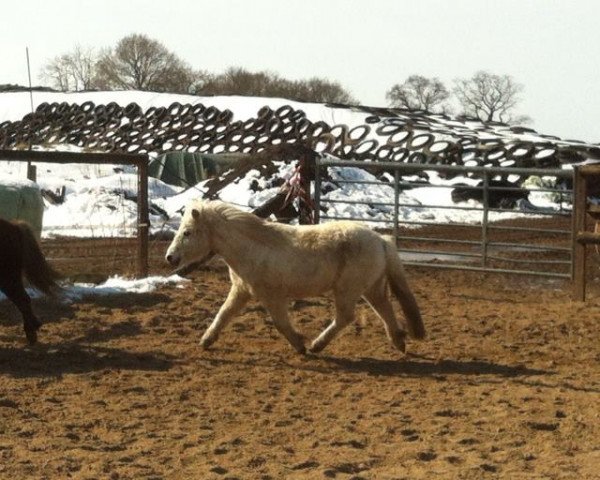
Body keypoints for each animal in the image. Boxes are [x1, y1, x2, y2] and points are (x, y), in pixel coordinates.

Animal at [166, 201, 424, 354]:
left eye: (187, 232)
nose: (170, 257)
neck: (253, 248)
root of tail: (381, 240)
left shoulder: (273, 297)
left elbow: (280, 323)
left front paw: (299, 345)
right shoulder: (241, 291)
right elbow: (223, 314)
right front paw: (206, 341)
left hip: (348, 290)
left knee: (346, 317)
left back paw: (317, 345)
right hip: (371, 287)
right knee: (384, 308)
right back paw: (399, 341)